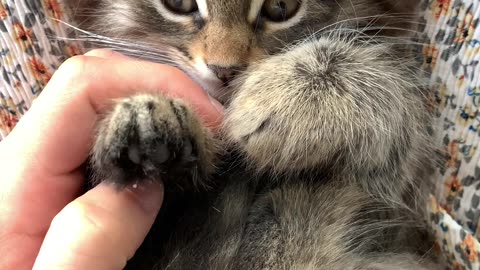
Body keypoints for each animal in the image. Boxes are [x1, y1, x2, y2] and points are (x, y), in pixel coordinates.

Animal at [64, 0, 442, 268]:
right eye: (178, 2)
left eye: (281, 6)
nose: (225, 69)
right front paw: (148, 127)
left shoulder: (391, 210)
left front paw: (287, 96)